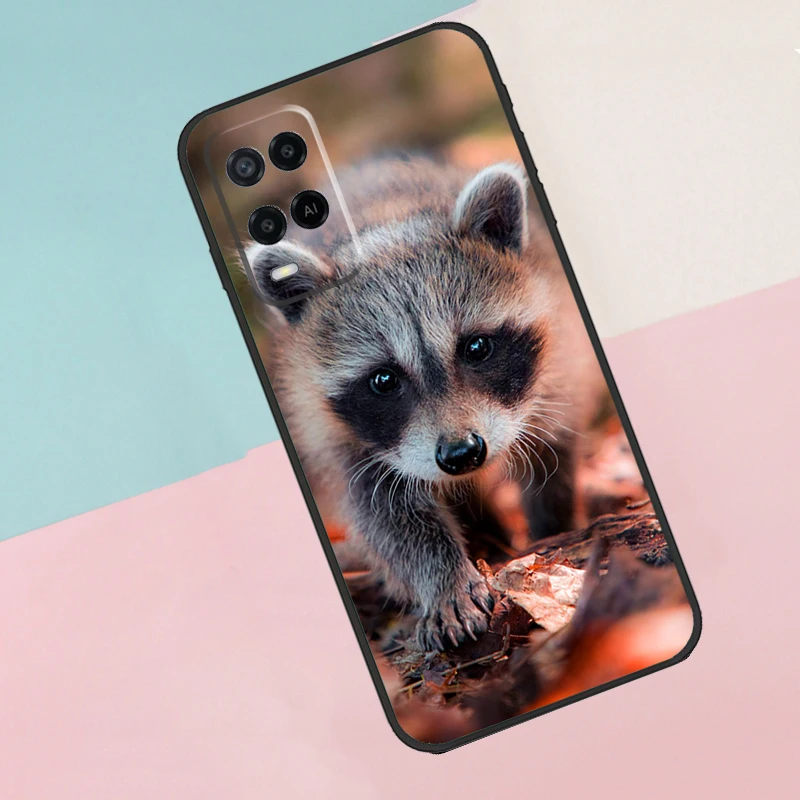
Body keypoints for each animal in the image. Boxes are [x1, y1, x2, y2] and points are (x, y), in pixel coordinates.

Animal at [248, 157, 602, 651]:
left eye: (476, 347)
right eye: (383, 379)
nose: (462, 455)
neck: (388, 220)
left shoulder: (559, 355)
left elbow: (554, 450)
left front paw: (555, 527)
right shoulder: (333, 429)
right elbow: (388, 516)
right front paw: (442, 580)